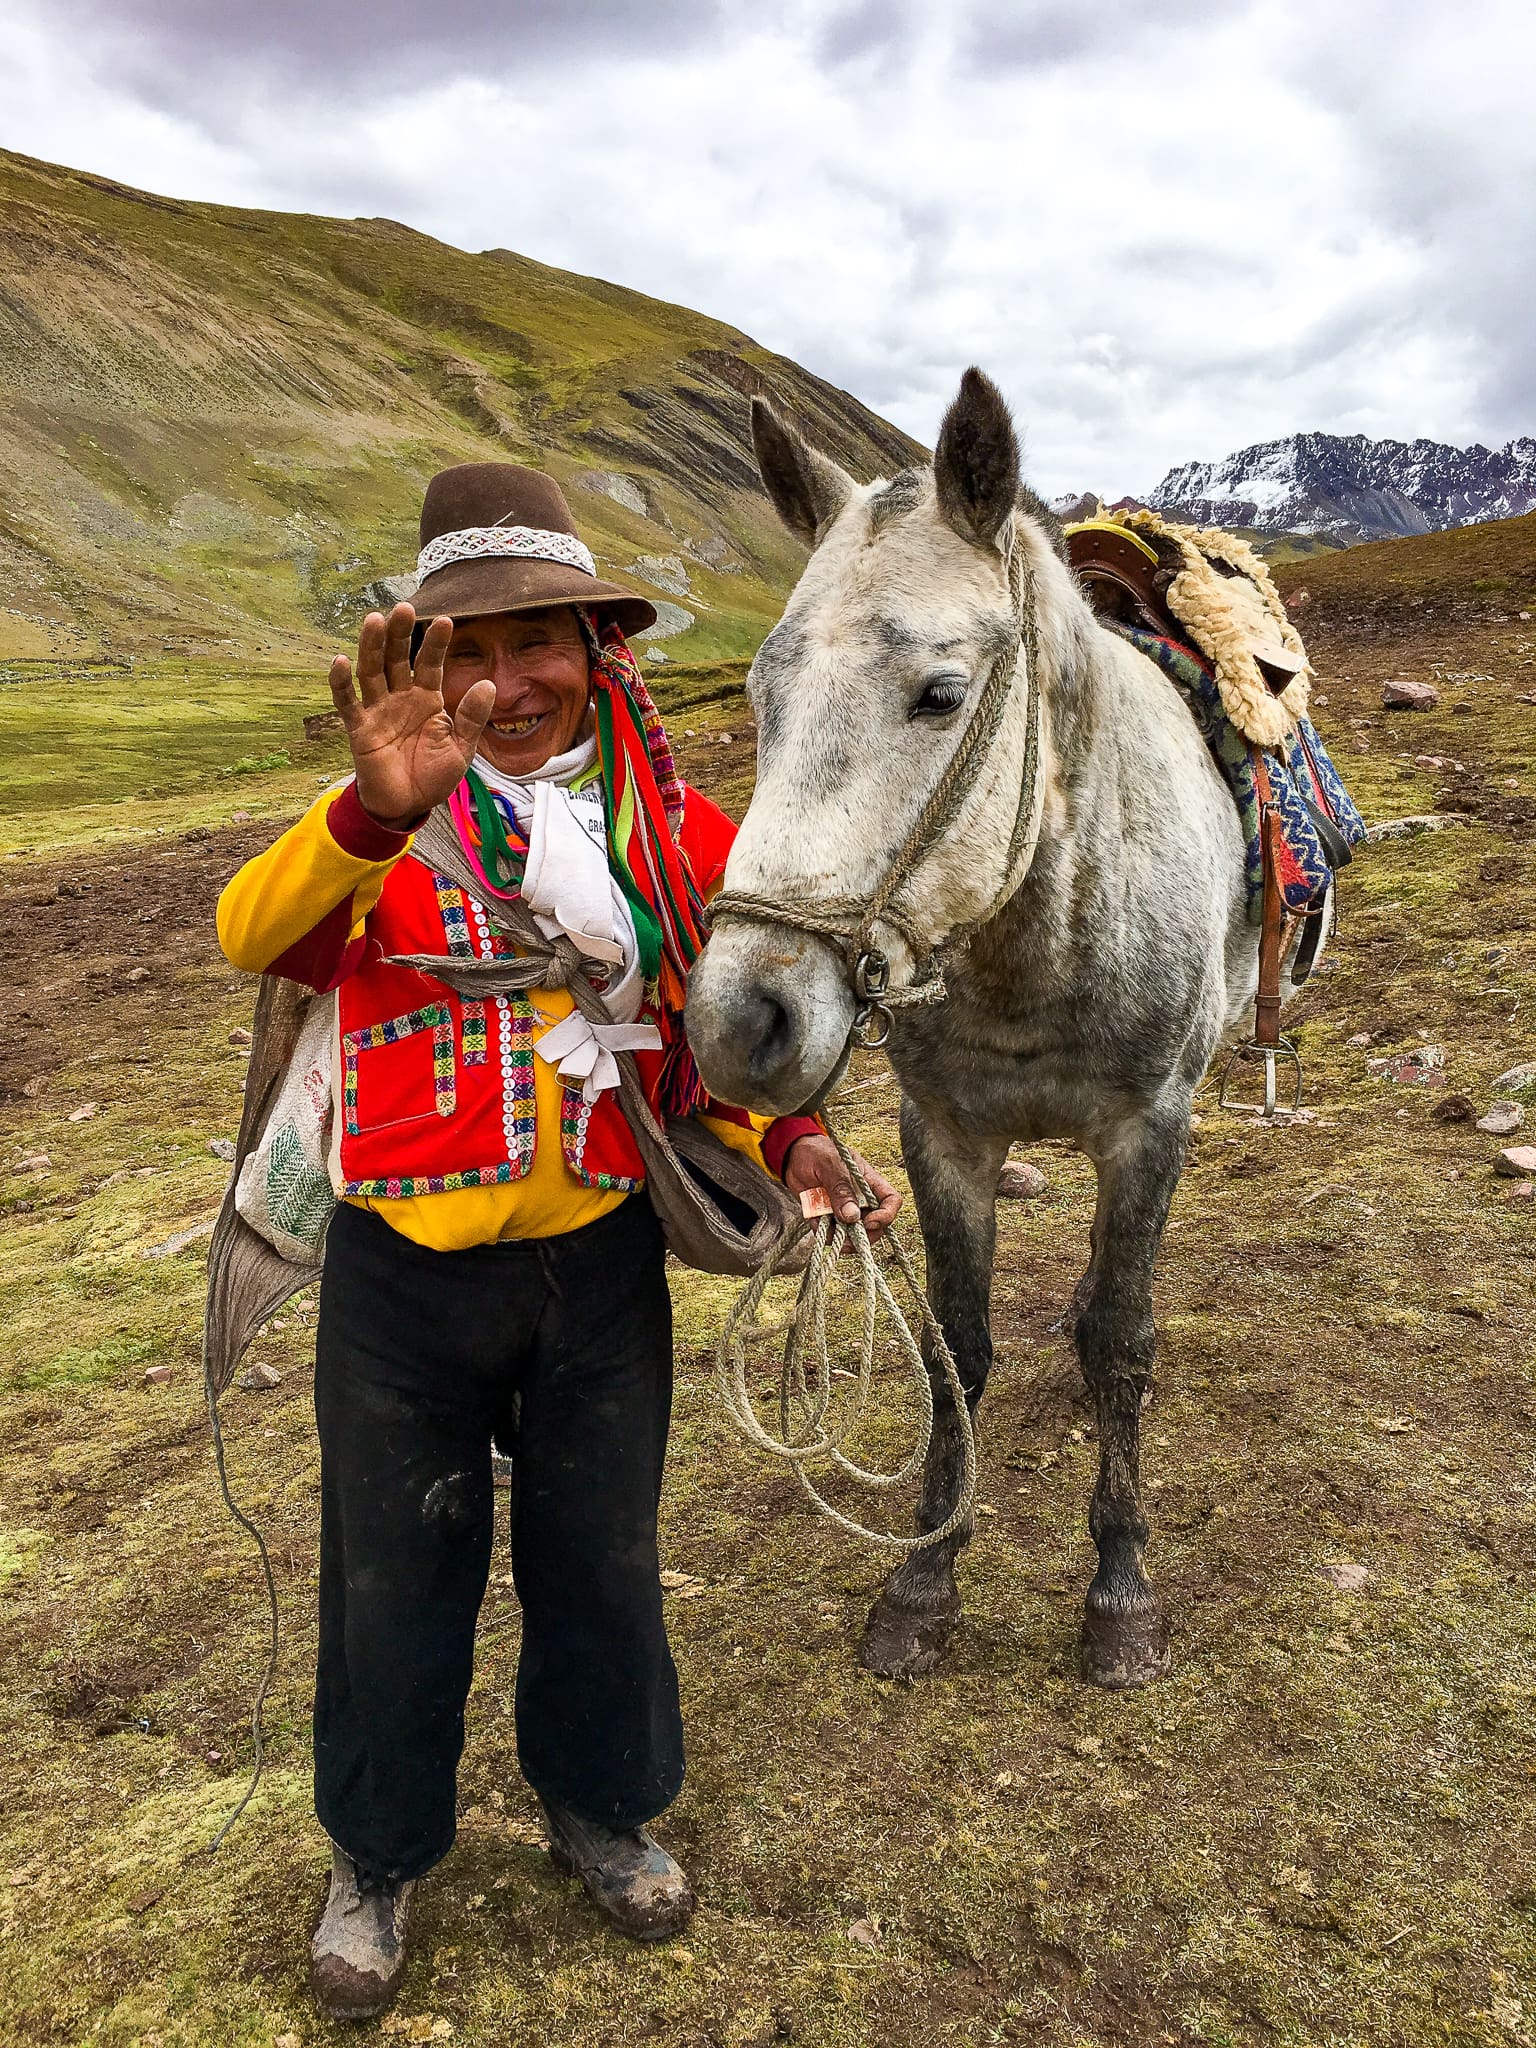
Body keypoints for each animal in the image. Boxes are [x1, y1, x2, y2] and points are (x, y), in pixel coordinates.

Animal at [687, 367, 1282, 1689]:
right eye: (758, 697)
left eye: (942, 694)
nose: (737, 1022)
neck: (1033, 946)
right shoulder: (944, 1136)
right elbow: (955, 1345)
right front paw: (923, 1580)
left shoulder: (1148, 1127)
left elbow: (1124, 1341)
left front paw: (1120, 1594)